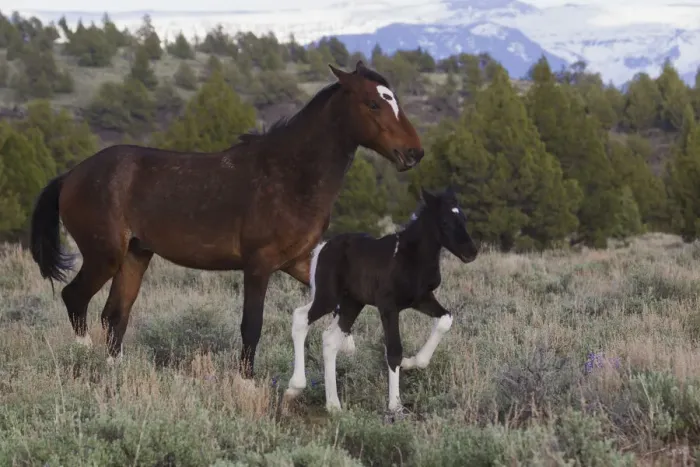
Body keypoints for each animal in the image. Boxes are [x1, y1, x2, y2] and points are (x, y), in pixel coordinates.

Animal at [29, 60, 424, 379]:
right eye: (373, 103)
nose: (414, 153)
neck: (289, 174)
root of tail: (70, 176)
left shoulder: (297, 260)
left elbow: (340, 300)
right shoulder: (259, 264)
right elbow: (252, 326)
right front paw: (245, 382)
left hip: (135, 256)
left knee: (115, 315)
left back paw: (115, 372)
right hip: (104, 255)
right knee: (75, 298)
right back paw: (83, 359)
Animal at [284, 187, 478, 413]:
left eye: (463, 218)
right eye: (445, 221)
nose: (471, 252)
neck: (409, 257)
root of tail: (322, 247)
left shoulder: (422, 299)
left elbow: (445, 319)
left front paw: (412, 363)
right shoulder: (388, 306)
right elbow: (393, 350)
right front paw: (395, 405)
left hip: (352, 303)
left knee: (330, 339)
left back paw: (333, 405)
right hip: (328, 297)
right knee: (301, 317)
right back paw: (295, 387)